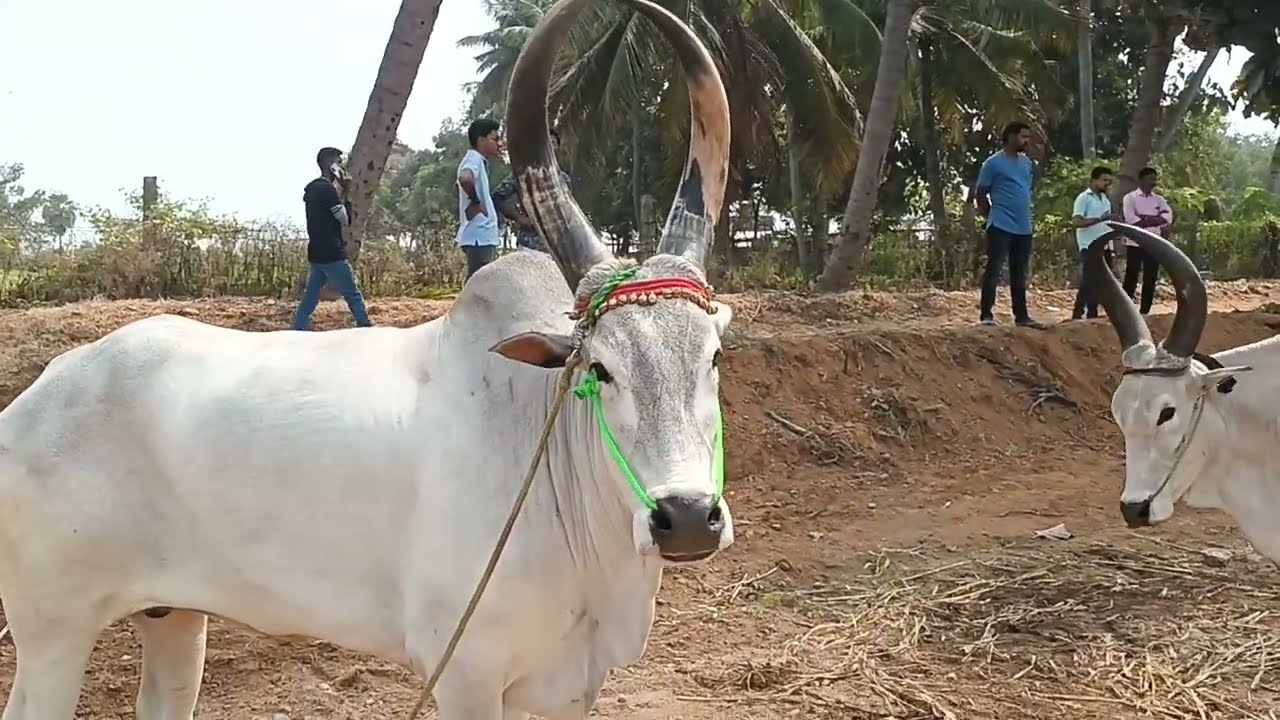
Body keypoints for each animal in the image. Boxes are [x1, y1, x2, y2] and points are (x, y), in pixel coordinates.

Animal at [0, 0, 735, 718]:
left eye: (713, 359)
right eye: (600, 369)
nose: (686, 518)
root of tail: (37, 395)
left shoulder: (571, 688)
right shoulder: (463, 673)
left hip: (174, 617)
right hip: (53, 633)